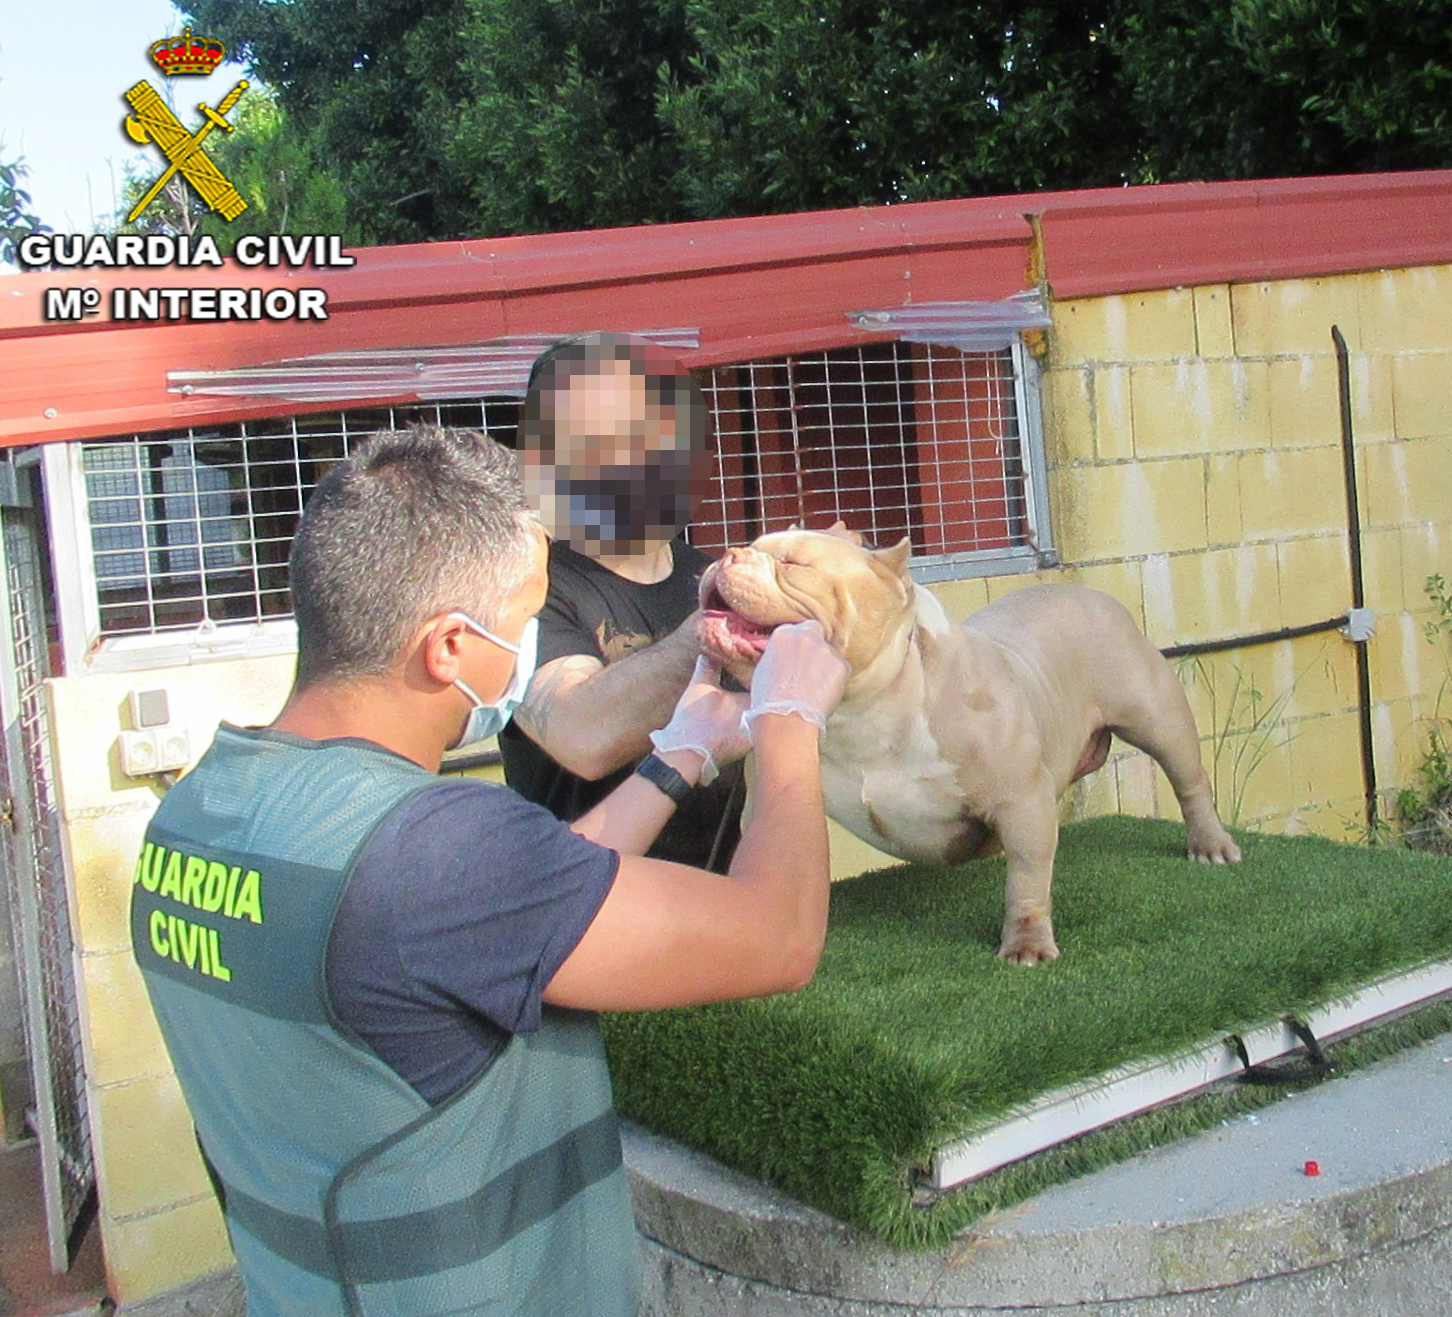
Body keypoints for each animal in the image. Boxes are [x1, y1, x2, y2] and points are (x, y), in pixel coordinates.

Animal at [696, 525, 1242, 969]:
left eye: (793, 564)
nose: (726, 552)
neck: (862, 709)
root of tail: (1090, 593)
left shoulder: (1020, 801)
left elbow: (1027, 879)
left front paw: (1026, 944)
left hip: (1156, 714)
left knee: (1189, 779)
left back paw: (1210, 846)